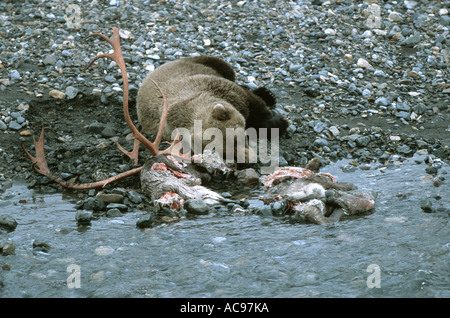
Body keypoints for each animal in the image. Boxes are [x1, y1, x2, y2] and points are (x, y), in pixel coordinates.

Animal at [135, 55, 288, 158]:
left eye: (238, 139)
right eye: (224, 154)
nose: (248, 160)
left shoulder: (226, 90)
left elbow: (256, 107)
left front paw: (280, 122)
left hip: (199, 63)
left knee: (225, 68)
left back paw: (267, 94)